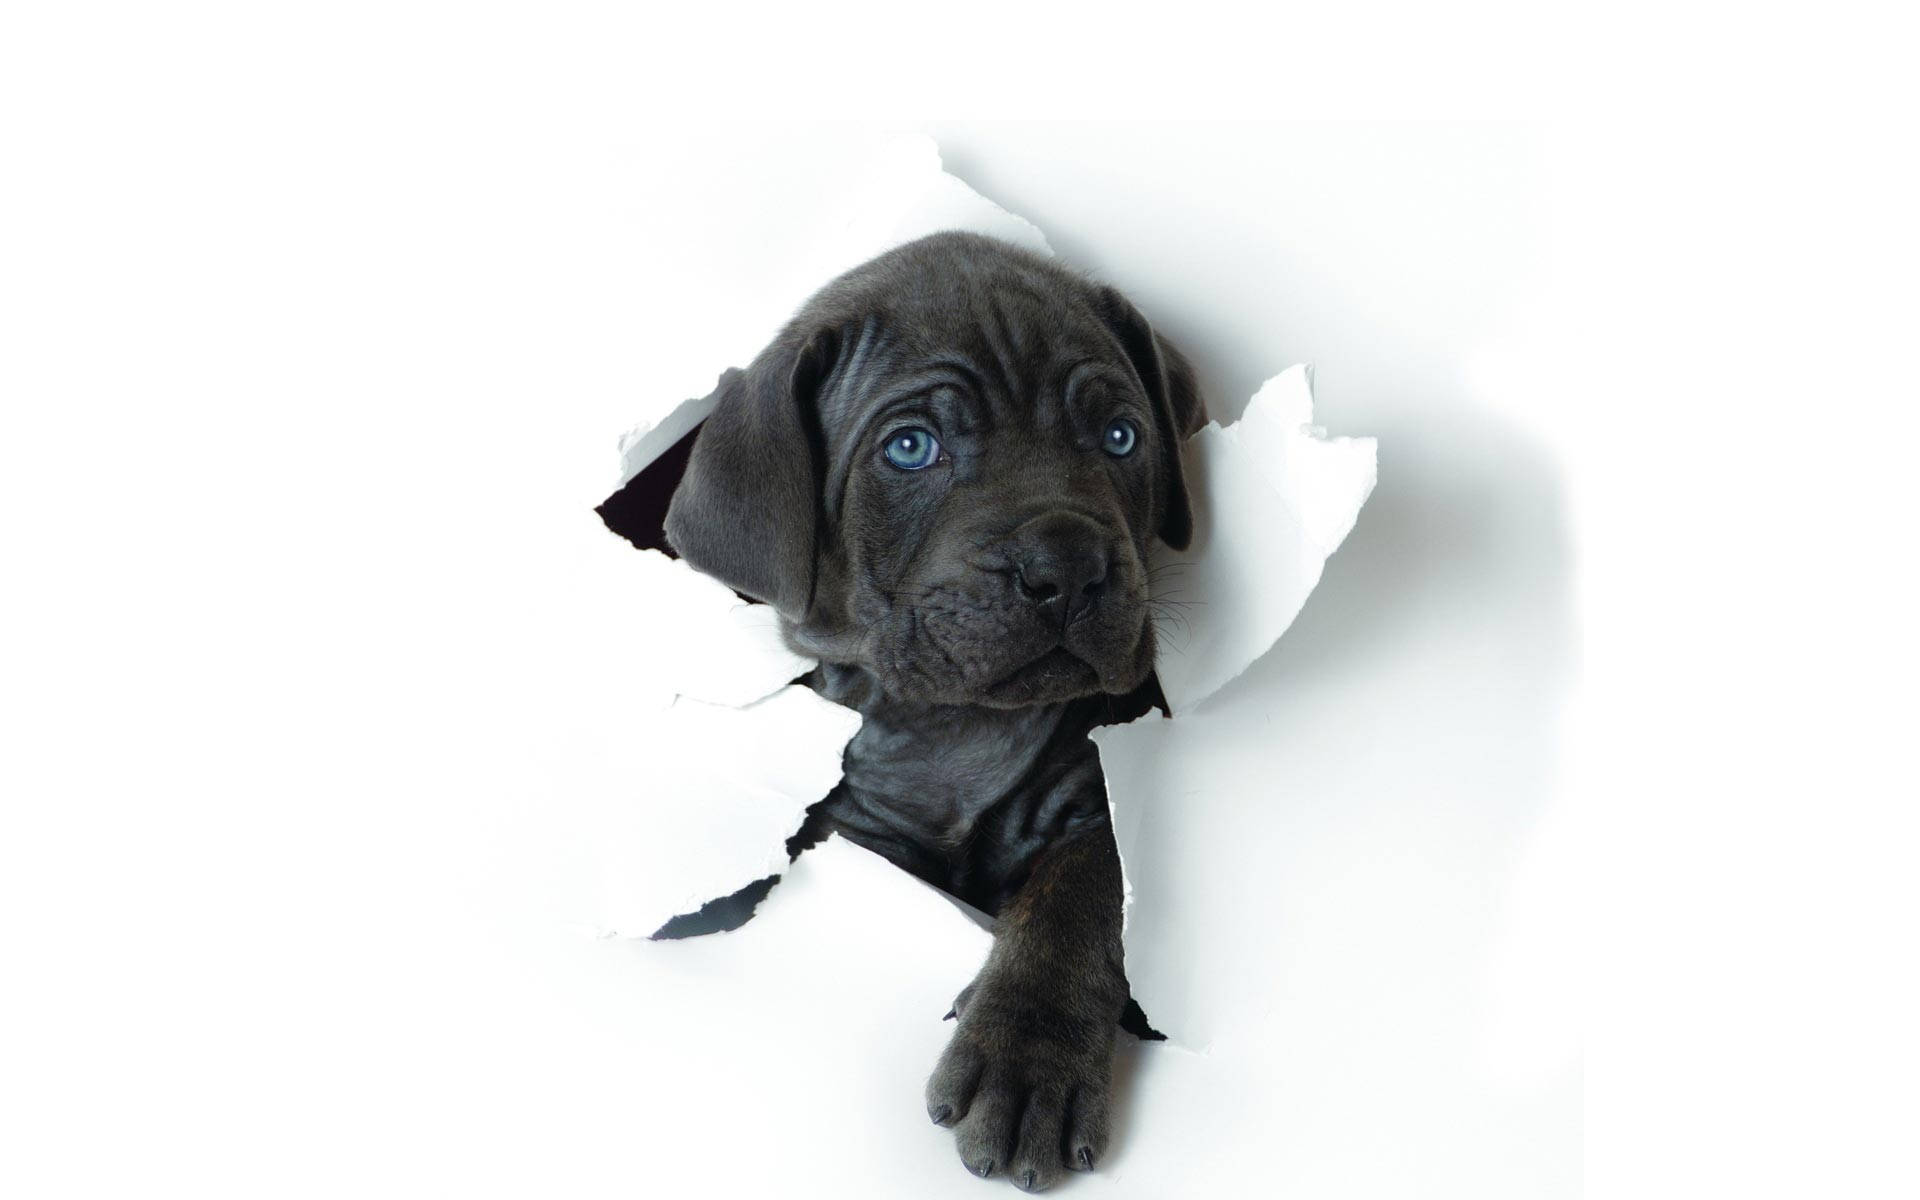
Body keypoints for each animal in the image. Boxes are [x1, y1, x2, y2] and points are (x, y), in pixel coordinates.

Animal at [614, 226, 1198, 1190]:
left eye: (1120, 437)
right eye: (912, 448)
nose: (1067, 563)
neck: (951, 724)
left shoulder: (1099, 787)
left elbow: (1086, 891)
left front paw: (1028, 1058)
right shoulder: (846, 827)